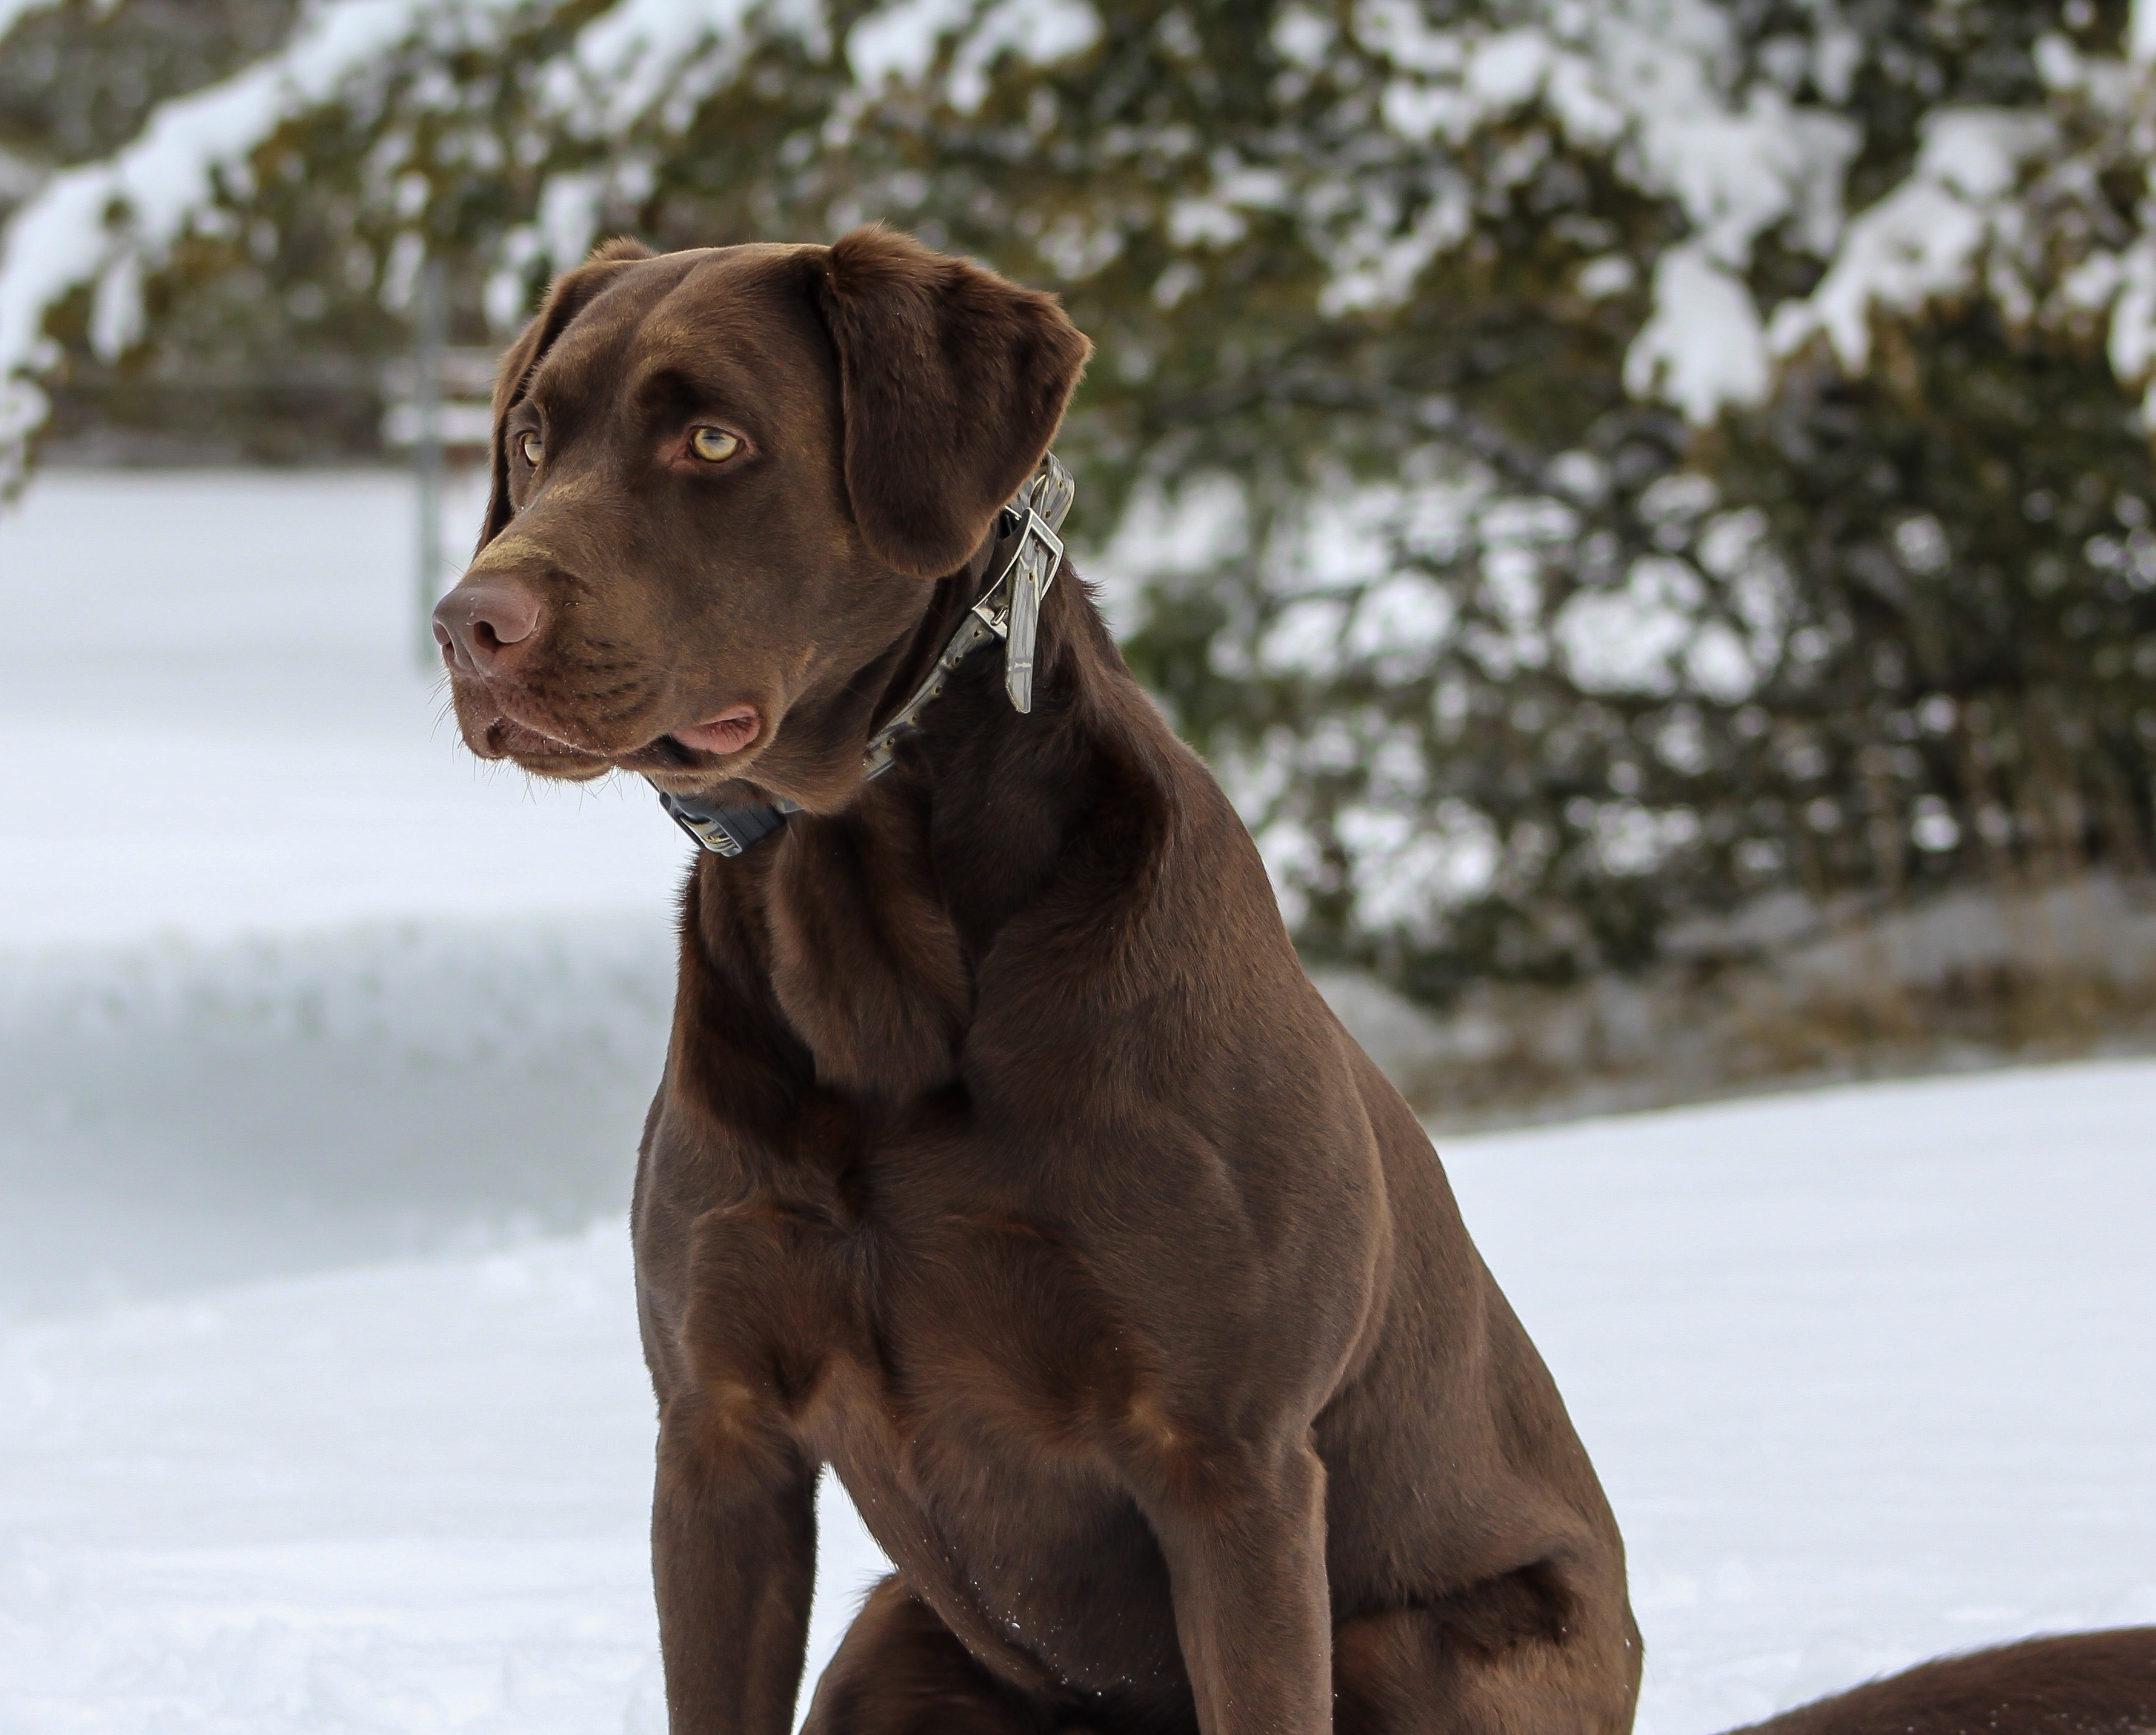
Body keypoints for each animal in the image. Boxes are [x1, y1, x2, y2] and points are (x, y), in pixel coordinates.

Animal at [438, 230, 2156, 1733]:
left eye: (715, 438)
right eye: (531, 435)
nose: (469, 625)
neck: (862, 925)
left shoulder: (1231, 1462)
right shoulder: (718, 1441)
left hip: (1424, 1646)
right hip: (899, 1637)